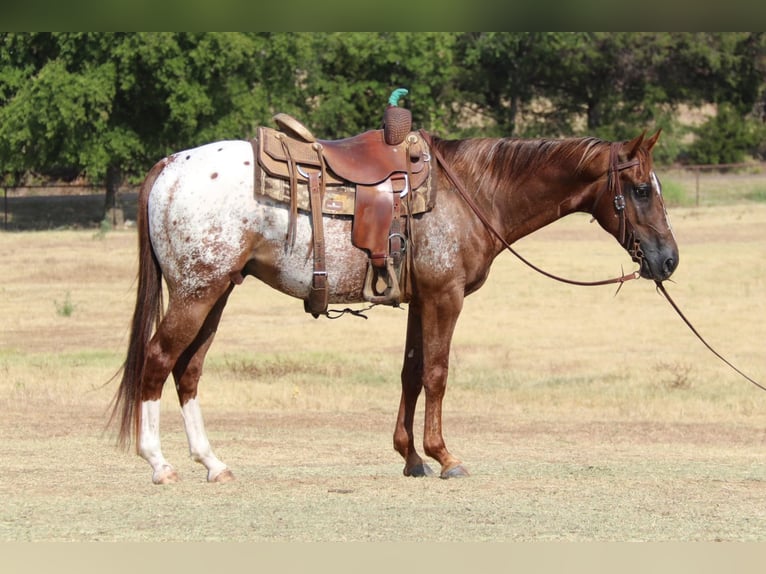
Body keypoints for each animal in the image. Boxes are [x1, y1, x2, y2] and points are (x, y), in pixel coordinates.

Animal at [112, 128, 680, 484]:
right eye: (639, 190)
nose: (669, 259)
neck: (473, 192)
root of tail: (170, 165)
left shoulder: (419, 300)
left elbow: (410, 372)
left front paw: (410, 456)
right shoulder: (445, 297)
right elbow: (437, 373)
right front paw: (444, 456)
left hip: (218, 292)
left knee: (188, 371)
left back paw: (213, 463)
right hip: (196, 291)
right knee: (157, 361)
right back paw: (159, 464)